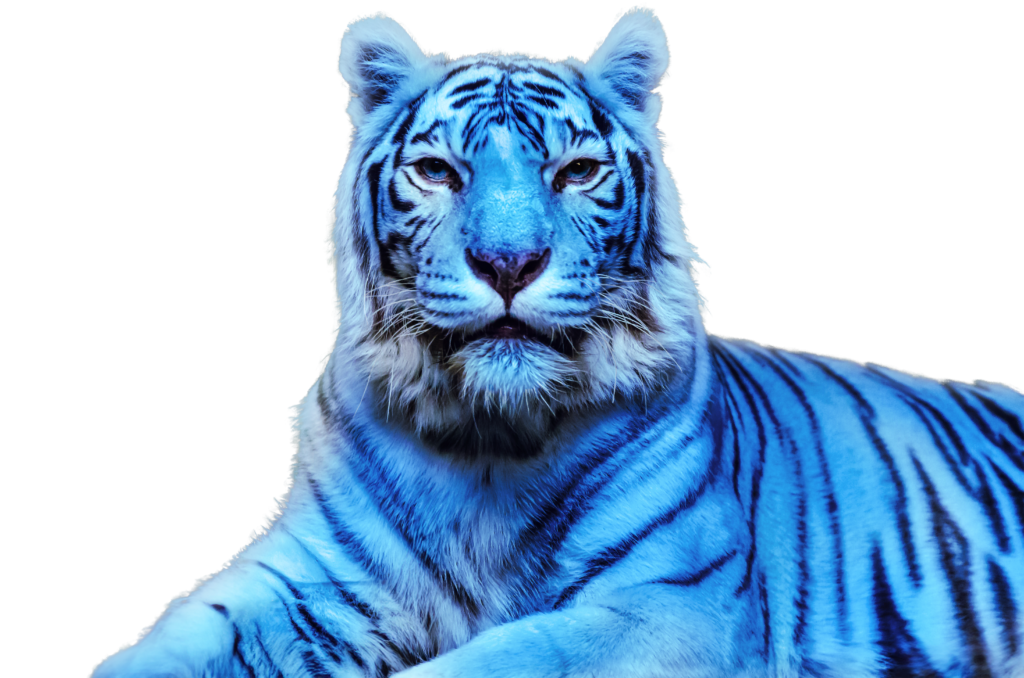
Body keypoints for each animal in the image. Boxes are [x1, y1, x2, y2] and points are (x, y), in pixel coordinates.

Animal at [91, 4, 1024, 678]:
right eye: (437, 171)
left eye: (576, 172)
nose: (509, 263)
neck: (488, 445)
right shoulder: (309, 580)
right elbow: (172, 645)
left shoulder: (675, 604)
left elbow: (497, 662)